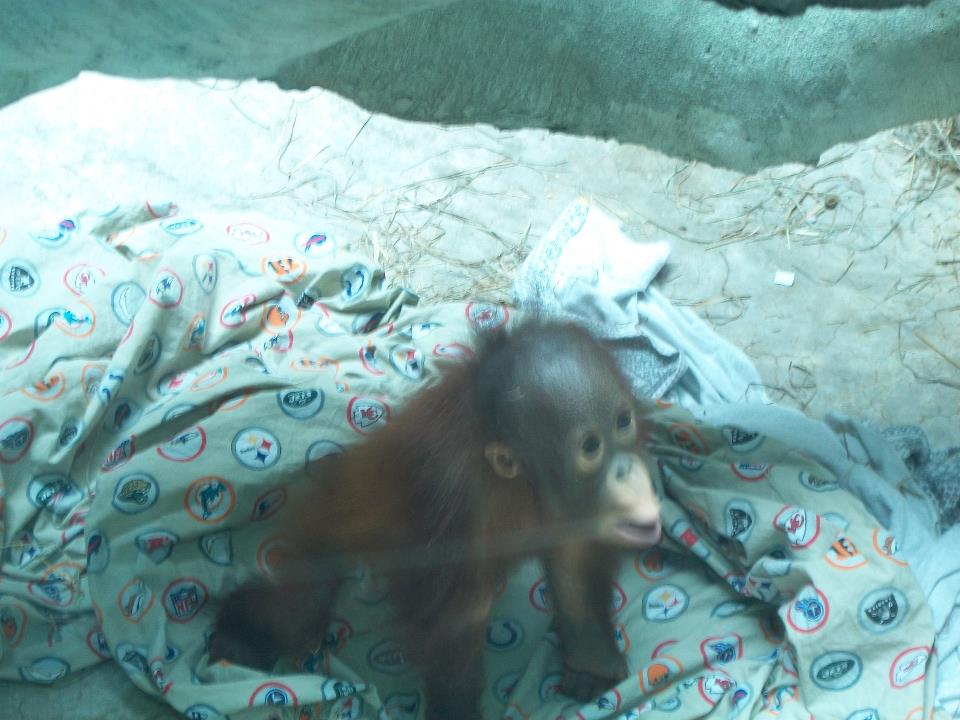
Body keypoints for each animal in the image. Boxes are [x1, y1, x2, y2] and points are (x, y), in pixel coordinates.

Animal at [210, 320, 662, 719]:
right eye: (591, 446)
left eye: (623, 422)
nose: (627, 470)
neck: (520, 482)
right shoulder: (457, 498)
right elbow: (460, 614)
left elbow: (573, 563)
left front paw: (591, 663)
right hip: (333, 521)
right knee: (301, 604)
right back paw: (241, 634)